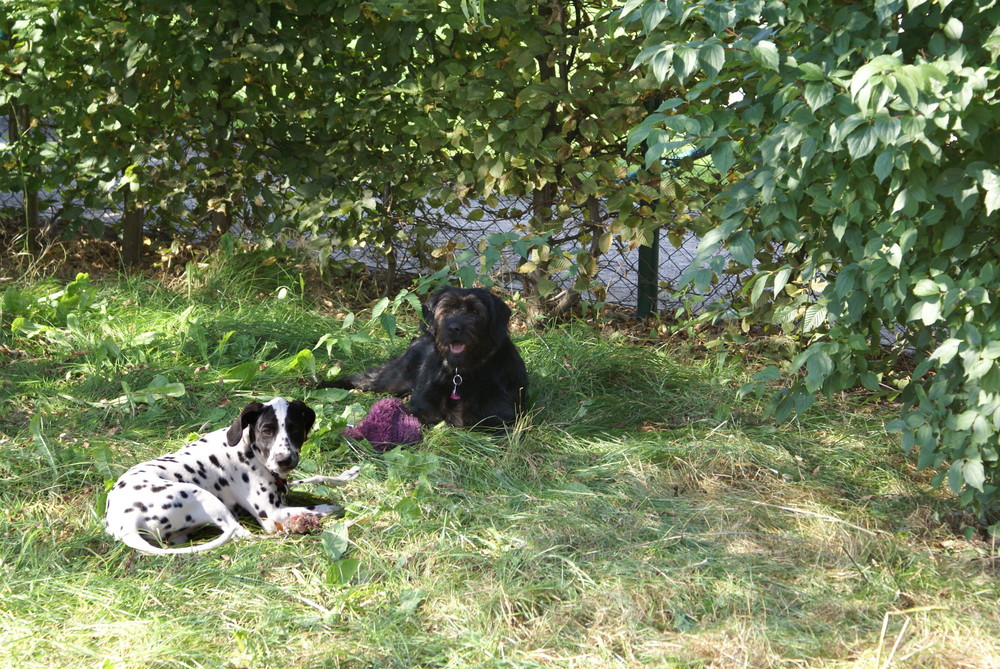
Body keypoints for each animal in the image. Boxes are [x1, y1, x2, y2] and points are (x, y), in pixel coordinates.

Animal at [105, 396, 360, 552]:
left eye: (295, 429)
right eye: (266, 431)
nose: (284, 459)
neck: (248, 449)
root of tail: (124, 522)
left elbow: (312, 479)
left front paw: (345, 476)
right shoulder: (272, 512)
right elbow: (316, 507)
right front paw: (334, 507)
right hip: (204, 497)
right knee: (243, 533)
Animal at [322, 288, 528, 428]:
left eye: (476, 311)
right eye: (446, 309)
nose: (454, 328)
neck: (461, 373)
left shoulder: (500, 417)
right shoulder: (423, 406)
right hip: (392, 378)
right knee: (362, 378)